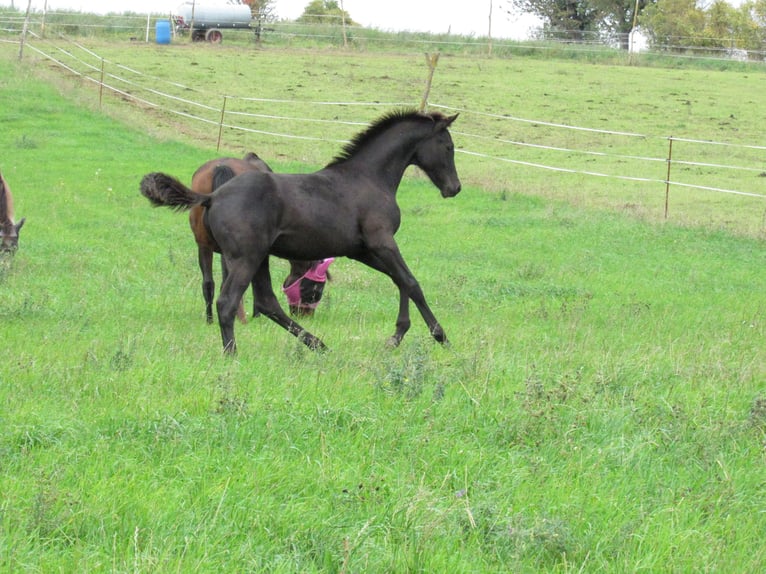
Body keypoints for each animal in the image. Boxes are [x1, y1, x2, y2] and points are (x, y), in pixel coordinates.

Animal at [141, 109, 461, 353]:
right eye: (448, 147)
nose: (454, 188)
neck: (368, 178)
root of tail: (212, 196)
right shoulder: (381, 241)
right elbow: (411, 282)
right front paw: (439, 336)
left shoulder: (363, 250)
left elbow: (400, 281)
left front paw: (397, 335)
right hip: (247, 258)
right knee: (228, 301)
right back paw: (232, 354)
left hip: (259, 257)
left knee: (266, 302)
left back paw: (317, 344)